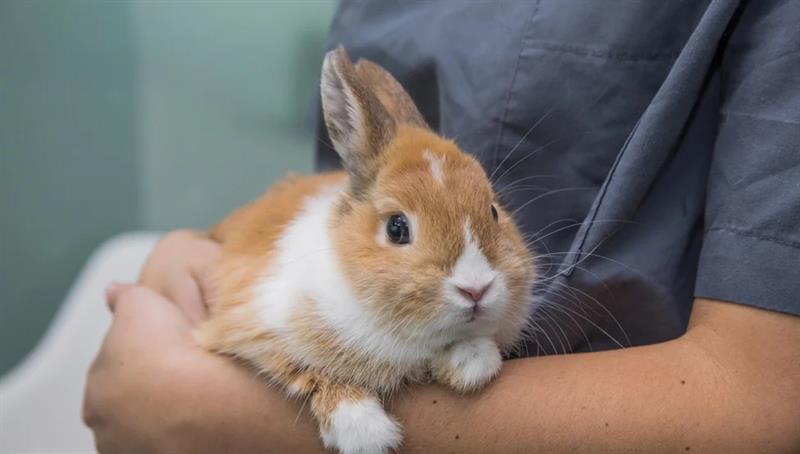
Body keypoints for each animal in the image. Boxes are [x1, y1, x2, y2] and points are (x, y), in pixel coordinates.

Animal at [195, 47, 536, 454]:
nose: (475, 289)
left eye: (493, 211)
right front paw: (366, 432)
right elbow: (311, 370)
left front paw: (472, 365)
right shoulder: (255, 324)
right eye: (397, 228)